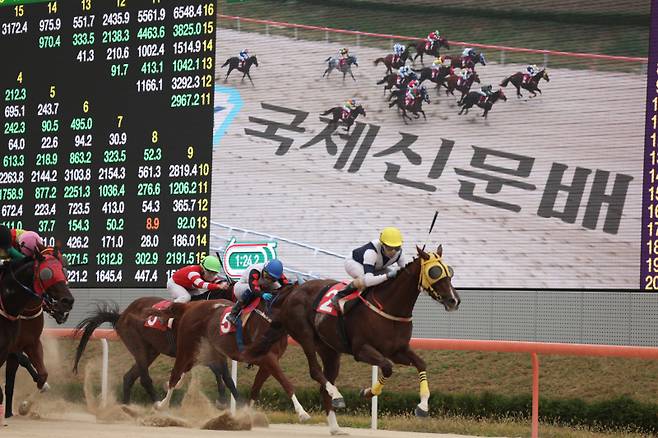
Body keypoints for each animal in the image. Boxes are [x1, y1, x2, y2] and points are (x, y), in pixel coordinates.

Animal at [0, 248, 73, 420]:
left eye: (64, 271)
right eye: (47, 274)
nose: (67, 302)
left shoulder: (29, 343)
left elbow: (41, 375)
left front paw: (19, 408)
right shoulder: (13, 348)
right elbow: (24, 362)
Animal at [73, 292, 237, 406]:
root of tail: (121, 315)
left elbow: (225, 376)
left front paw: (226, 401)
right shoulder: (191, 352)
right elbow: (218, 372)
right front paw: (224, 400)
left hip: (151, 351)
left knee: (129, 377)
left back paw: (127, 408)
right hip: (137, 345)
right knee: (144, 379)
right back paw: (157, 403)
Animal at [154, 286, 310, 422]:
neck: (270, 320)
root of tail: (190, 306)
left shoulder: (268, 361)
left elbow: (255, 389)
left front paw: (247, 414)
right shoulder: (267, 358)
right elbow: (286, 383)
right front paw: (302, 413)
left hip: (205, 351)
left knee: (185, 370)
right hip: (186, 347)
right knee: (175, 374)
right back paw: (161, 405)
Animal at [243, 246, 458, 434]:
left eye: (450, 272)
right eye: (434, 272)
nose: (454, 300)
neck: (389, 307)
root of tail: (293, 290)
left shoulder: (398, 350)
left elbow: (421, 363)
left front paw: (422, 406)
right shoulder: (361, 350)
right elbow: (387, 367)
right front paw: (368, 392)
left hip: (329, 350)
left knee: (323, 385)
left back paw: (335, 427)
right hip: (305, 336)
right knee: (315, 371)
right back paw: (336, 395)